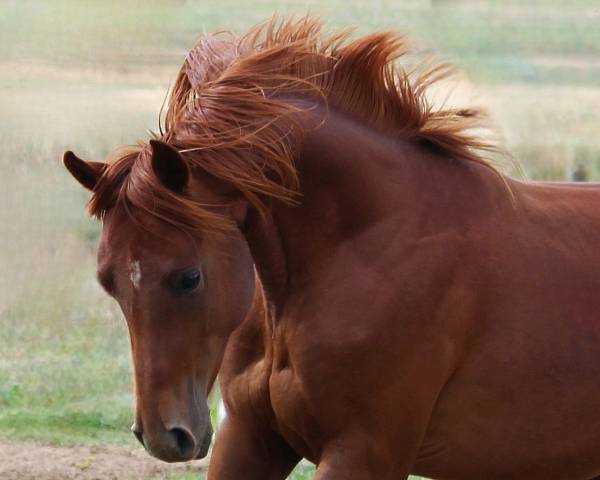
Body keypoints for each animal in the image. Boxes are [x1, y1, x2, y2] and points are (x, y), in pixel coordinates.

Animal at [62, 15, 600, 480]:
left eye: (188, 277)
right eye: (108, 281)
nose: (163, 436)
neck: (362, 246)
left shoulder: (363, 452)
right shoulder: (251, 438)